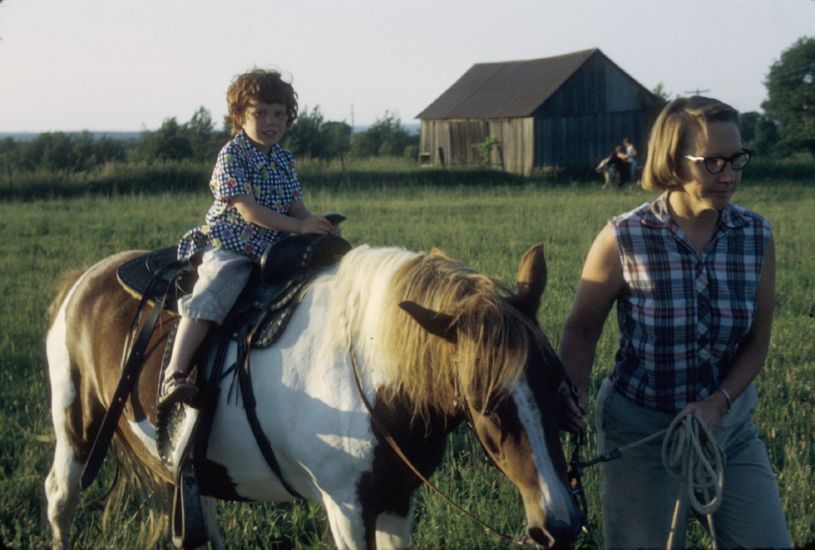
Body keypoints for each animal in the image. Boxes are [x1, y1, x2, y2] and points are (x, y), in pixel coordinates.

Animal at [44, 246, 584, 550]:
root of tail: (83, 279)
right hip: (75, 426)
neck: (369, 367)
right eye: (484, 402)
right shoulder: (345, 507)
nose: (559, 526)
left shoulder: (396, 498)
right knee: (60, 497)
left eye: (557, 385)